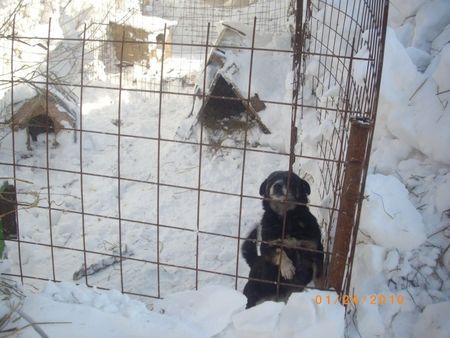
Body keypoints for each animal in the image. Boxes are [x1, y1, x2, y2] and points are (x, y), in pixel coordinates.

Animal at [243, 170, 324, 308]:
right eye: (271, 180)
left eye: (290, 180)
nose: (277, 185)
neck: (287, 219)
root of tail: (255, 261)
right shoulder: (267, 246)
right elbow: (280, 251)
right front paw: (287, 268)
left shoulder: (315, 248)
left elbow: (318, 274)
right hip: (254, 292)